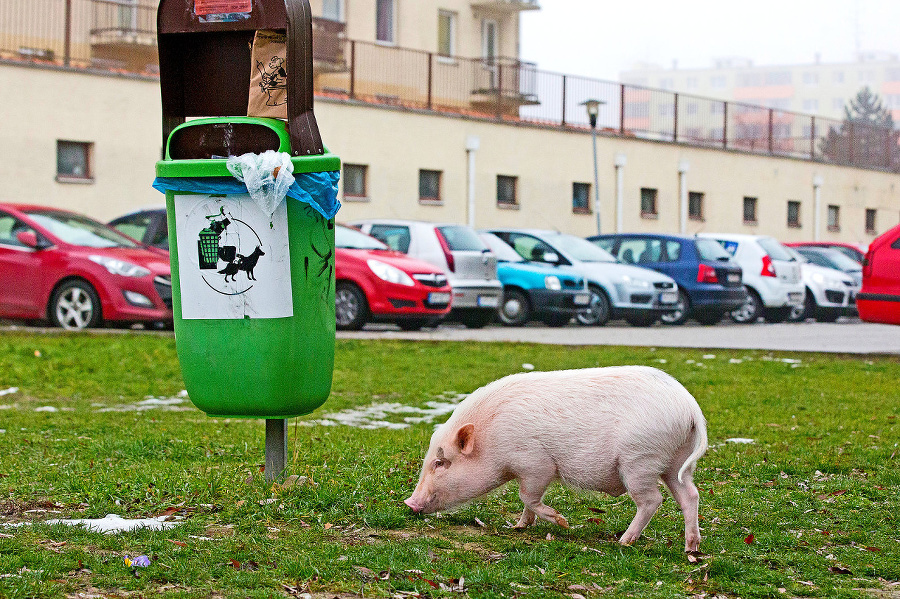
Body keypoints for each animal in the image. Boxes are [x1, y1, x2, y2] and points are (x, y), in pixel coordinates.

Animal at [404, 366, 708, 552]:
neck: (491, 438)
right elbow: (525, 501)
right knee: (689, 494)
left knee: (652, 500)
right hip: (676, 463)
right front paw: (518, 526)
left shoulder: (536, 462)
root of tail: (690, 408)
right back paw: (691, 547)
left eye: (440, 462)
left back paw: (623, 541)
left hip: (639, 461)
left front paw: (562, 523)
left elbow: (527, 496)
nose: (409, 503)